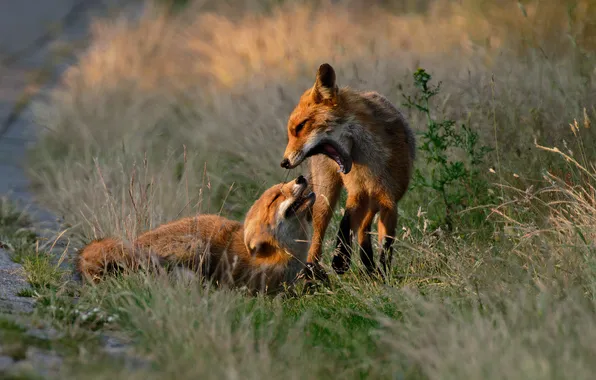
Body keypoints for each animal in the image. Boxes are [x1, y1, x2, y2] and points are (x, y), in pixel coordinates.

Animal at [280, 63, 414, 280]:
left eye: (300, 127)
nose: (283, 162)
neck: (370, 167)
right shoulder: (356, 194)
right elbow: (346, 221)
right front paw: (340, 259)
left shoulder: (389, 200)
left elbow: (385, 244)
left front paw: (382, 272)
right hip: (325, 197)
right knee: (318, 237)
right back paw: (312, 275)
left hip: (373, 201)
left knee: (364, 228)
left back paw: (368, 266)